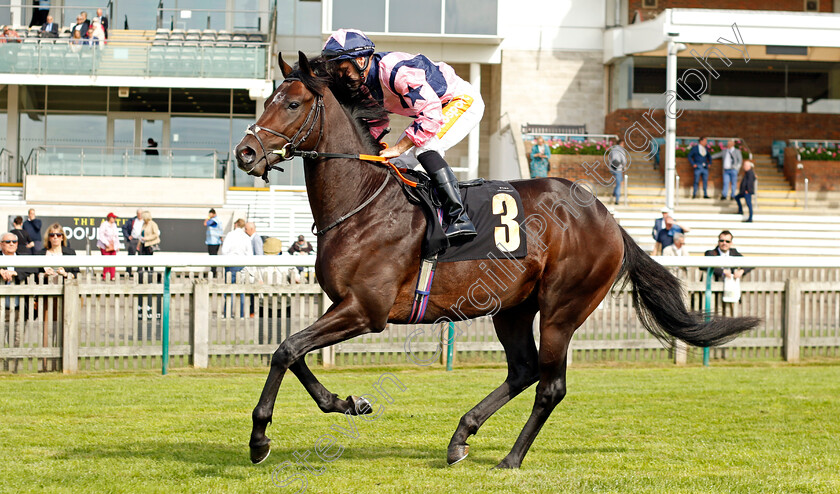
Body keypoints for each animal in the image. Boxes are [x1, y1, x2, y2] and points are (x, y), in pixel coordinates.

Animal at [233, 52, 756, 468]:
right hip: (513, 307)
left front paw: (259, 438)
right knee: (523, 370)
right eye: (268, 99)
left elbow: (286, 349)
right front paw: (348, 402)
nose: (245, 152)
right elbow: (293, 351)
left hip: (562, 308)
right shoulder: (343, 304)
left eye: (292, 104)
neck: (362, 202)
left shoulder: (366, 310)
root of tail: (608, 219)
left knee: (549, 385)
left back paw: (510, 458)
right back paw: (460, 437)